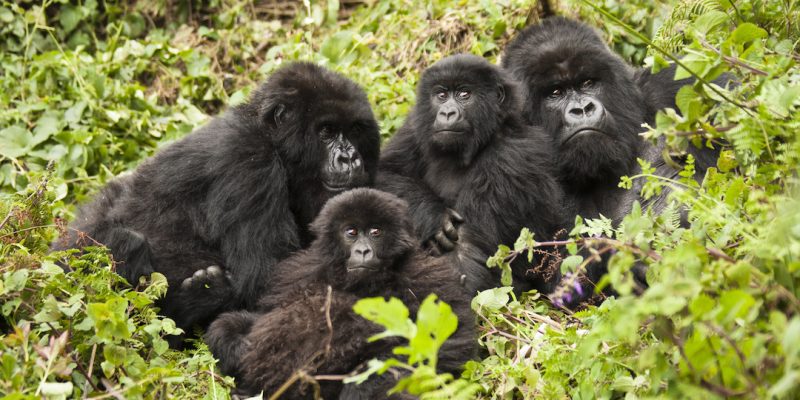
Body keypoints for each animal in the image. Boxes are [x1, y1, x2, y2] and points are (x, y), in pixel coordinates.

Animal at [53, 62, 382, 340]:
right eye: (326, 131)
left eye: (354, 130)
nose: (349, 157)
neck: (269, 137)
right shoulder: (248, 161)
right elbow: (265, 276)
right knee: (125, 242)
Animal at [203, 189, 476, 398]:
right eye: (351, 232)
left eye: (375, 232)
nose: (363, 251)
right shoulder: (298, 272)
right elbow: (261, 316)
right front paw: (237, 344)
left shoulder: (425, 276)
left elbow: (449, 340)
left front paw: (363, 386)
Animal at [378, 54, 564, 294]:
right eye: (441, 95)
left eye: (464, 94)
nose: (447, 113)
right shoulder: (415, 126)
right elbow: (385, 173)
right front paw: (432, 215)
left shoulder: (511, 156)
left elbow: (466, 256)